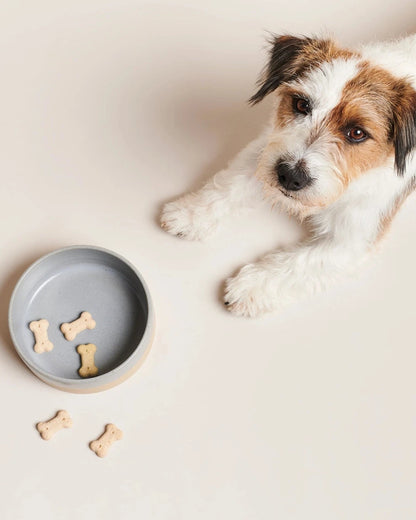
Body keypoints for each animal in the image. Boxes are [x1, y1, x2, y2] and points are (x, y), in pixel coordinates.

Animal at [160, 33, 416, 316]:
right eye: (302, 104)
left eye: (357, 133)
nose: (291, 176)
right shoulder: (266, 151)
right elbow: (230, 184)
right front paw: (191, 214)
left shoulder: (352, 239)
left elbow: (300, 263)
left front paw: (251, 287)